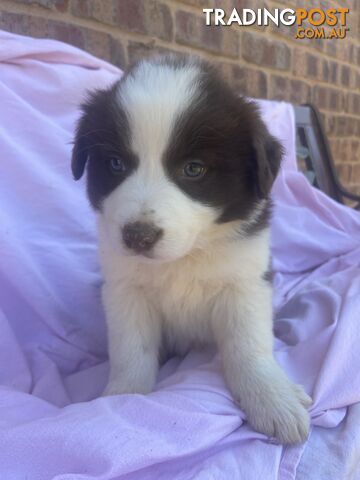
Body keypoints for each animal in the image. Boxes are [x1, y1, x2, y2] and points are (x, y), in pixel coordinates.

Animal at [71, 55, 310, 442]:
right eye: (116, 164)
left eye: (194, 169)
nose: (137, 236)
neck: (187, 254)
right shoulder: (124, 289)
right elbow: (130, 349)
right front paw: (121, 399)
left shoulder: (245, 282)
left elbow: (249, 346)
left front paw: (273, 399)